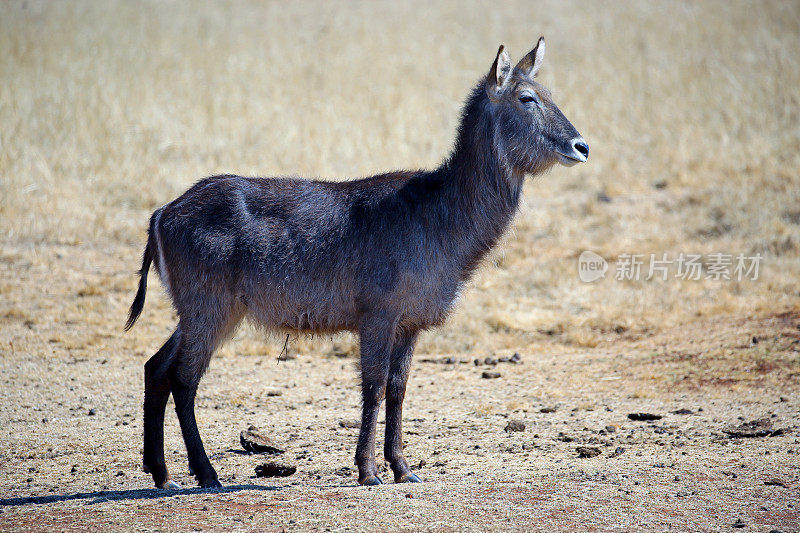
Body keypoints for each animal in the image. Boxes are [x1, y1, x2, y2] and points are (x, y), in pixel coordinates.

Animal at [126, 35, 588, 488]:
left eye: (550, 92)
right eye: (527, 97)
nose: (581, 146)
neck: (440, 215)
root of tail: (162, 212)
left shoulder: (410, 322)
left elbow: (399, 389)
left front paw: (403, 468)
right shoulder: (377, 314)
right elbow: (374, 386)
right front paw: (369, 471)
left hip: (204, 312)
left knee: (156, 367)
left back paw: (161, 473)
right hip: (210, 308)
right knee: (183, 378)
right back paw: (206, 474)